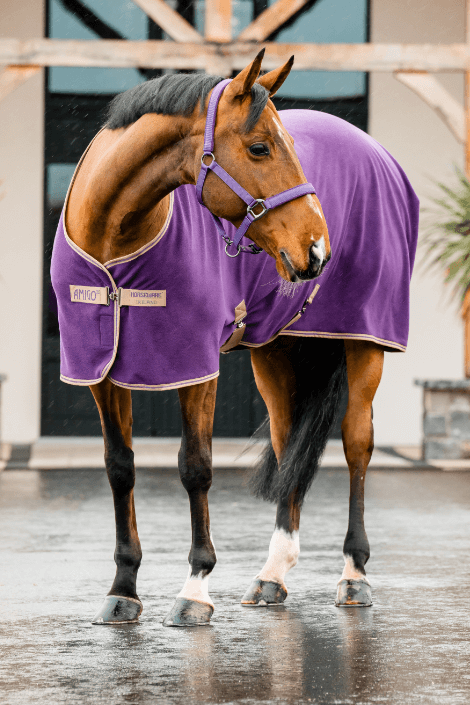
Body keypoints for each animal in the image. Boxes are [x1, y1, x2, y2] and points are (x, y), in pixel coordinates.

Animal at [50, 49, 418, 624]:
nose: (318, 249)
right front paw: (123, 588)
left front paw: (195, 589)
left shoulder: (195, 363)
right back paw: (272, 576)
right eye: (260, 147)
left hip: (366, 343)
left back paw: (354, 573)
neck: (116, 238)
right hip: (276, 352)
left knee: (358, 444)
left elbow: (195, 467)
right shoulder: (101, 371)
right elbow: (119, 467)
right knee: (288, 447)